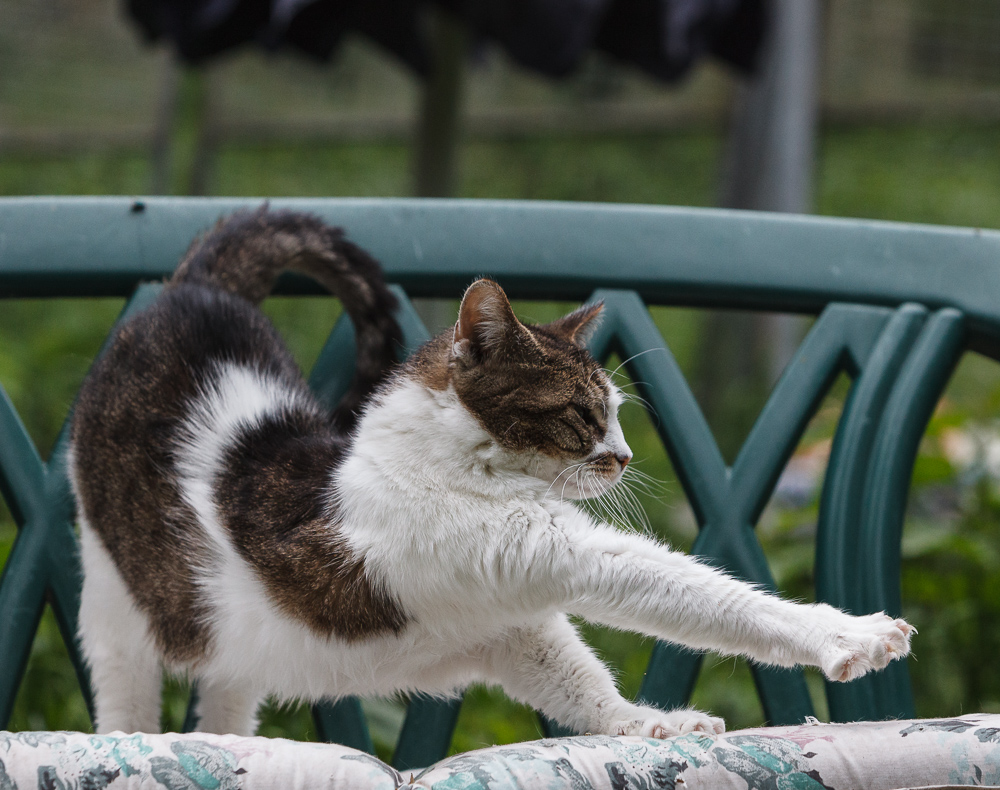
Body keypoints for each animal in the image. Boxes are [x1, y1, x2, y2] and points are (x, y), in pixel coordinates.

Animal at [70, 210, 916, 744]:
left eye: (619, 413)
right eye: (584, 414)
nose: (626, 457)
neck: (449, 462)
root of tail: (192, 290)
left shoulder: (515, 627)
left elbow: (582, 681)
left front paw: (648, 724)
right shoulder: (552, 555)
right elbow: (703, 594)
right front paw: (851, 635)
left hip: (232, 639)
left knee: (227, 694)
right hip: (112, 604)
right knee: (125, 693)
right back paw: (132, 745)